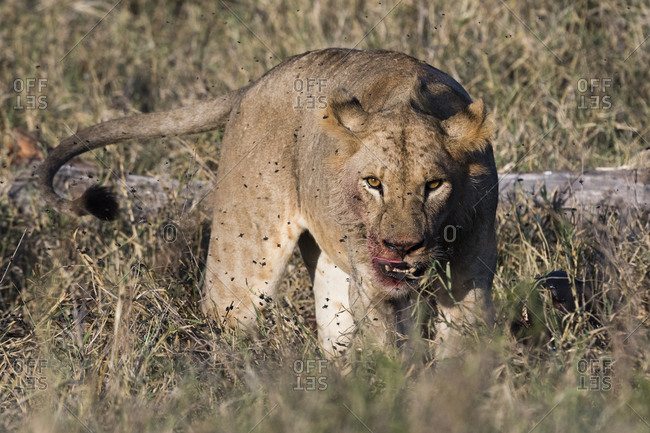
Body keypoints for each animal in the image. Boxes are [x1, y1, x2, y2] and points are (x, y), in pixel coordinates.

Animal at [39, 48, 498, 358]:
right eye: (373, 183)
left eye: (433, 185)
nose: (400, 247)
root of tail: (260, 80)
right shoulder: (374, 283)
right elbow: (391, 347)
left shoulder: (472, 270)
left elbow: (462, 344)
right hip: (242, 262)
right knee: (224, 323)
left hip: (329, 267)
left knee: (334, 331)